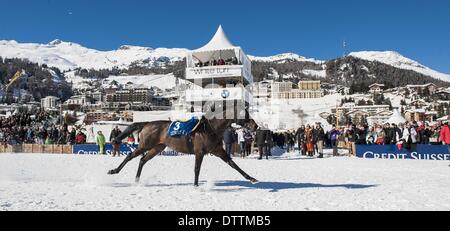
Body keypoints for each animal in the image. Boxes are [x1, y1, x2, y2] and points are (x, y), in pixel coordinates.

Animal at [107, 116, 258, 187]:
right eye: (245, 113)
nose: (255, 126)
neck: (210, 128)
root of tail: (147, 123)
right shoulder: (199, 152)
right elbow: (197, 169)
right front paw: (196, 185)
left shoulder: (218, 150)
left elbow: (233, 164)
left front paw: (251, 178)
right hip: (145, 145)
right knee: (130, 156)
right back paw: (114, 170)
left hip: (157, 148)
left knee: (142, 160)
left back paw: (137, 180)